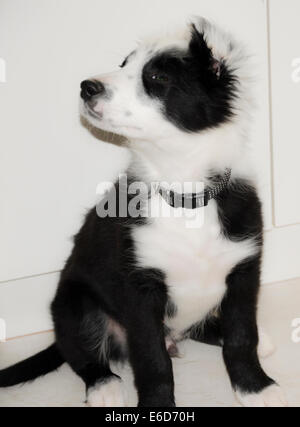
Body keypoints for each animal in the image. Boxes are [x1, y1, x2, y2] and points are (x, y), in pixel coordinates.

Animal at [0, 16, 288, 410]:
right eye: (124, 65)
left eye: (157, 77)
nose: (86, 87)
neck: (184, 195)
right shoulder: (139, 289)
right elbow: (152, 360)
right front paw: (157, 405)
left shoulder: (244, 271)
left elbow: (242, 336)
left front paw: (255, 388)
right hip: (73, 304)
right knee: (82, 354)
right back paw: (104, 386)